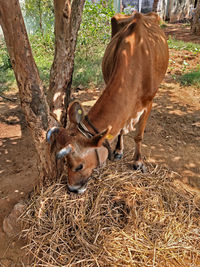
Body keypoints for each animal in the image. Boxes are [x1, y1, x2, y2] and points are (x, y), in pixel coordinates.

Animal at [47, 12, 169, 195]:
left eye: (79, 166)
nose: (72, 188)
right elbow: (120, 129)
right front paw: (118, 150)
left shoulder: (149, 102)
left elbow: (139, 136)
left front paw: (138, 161)